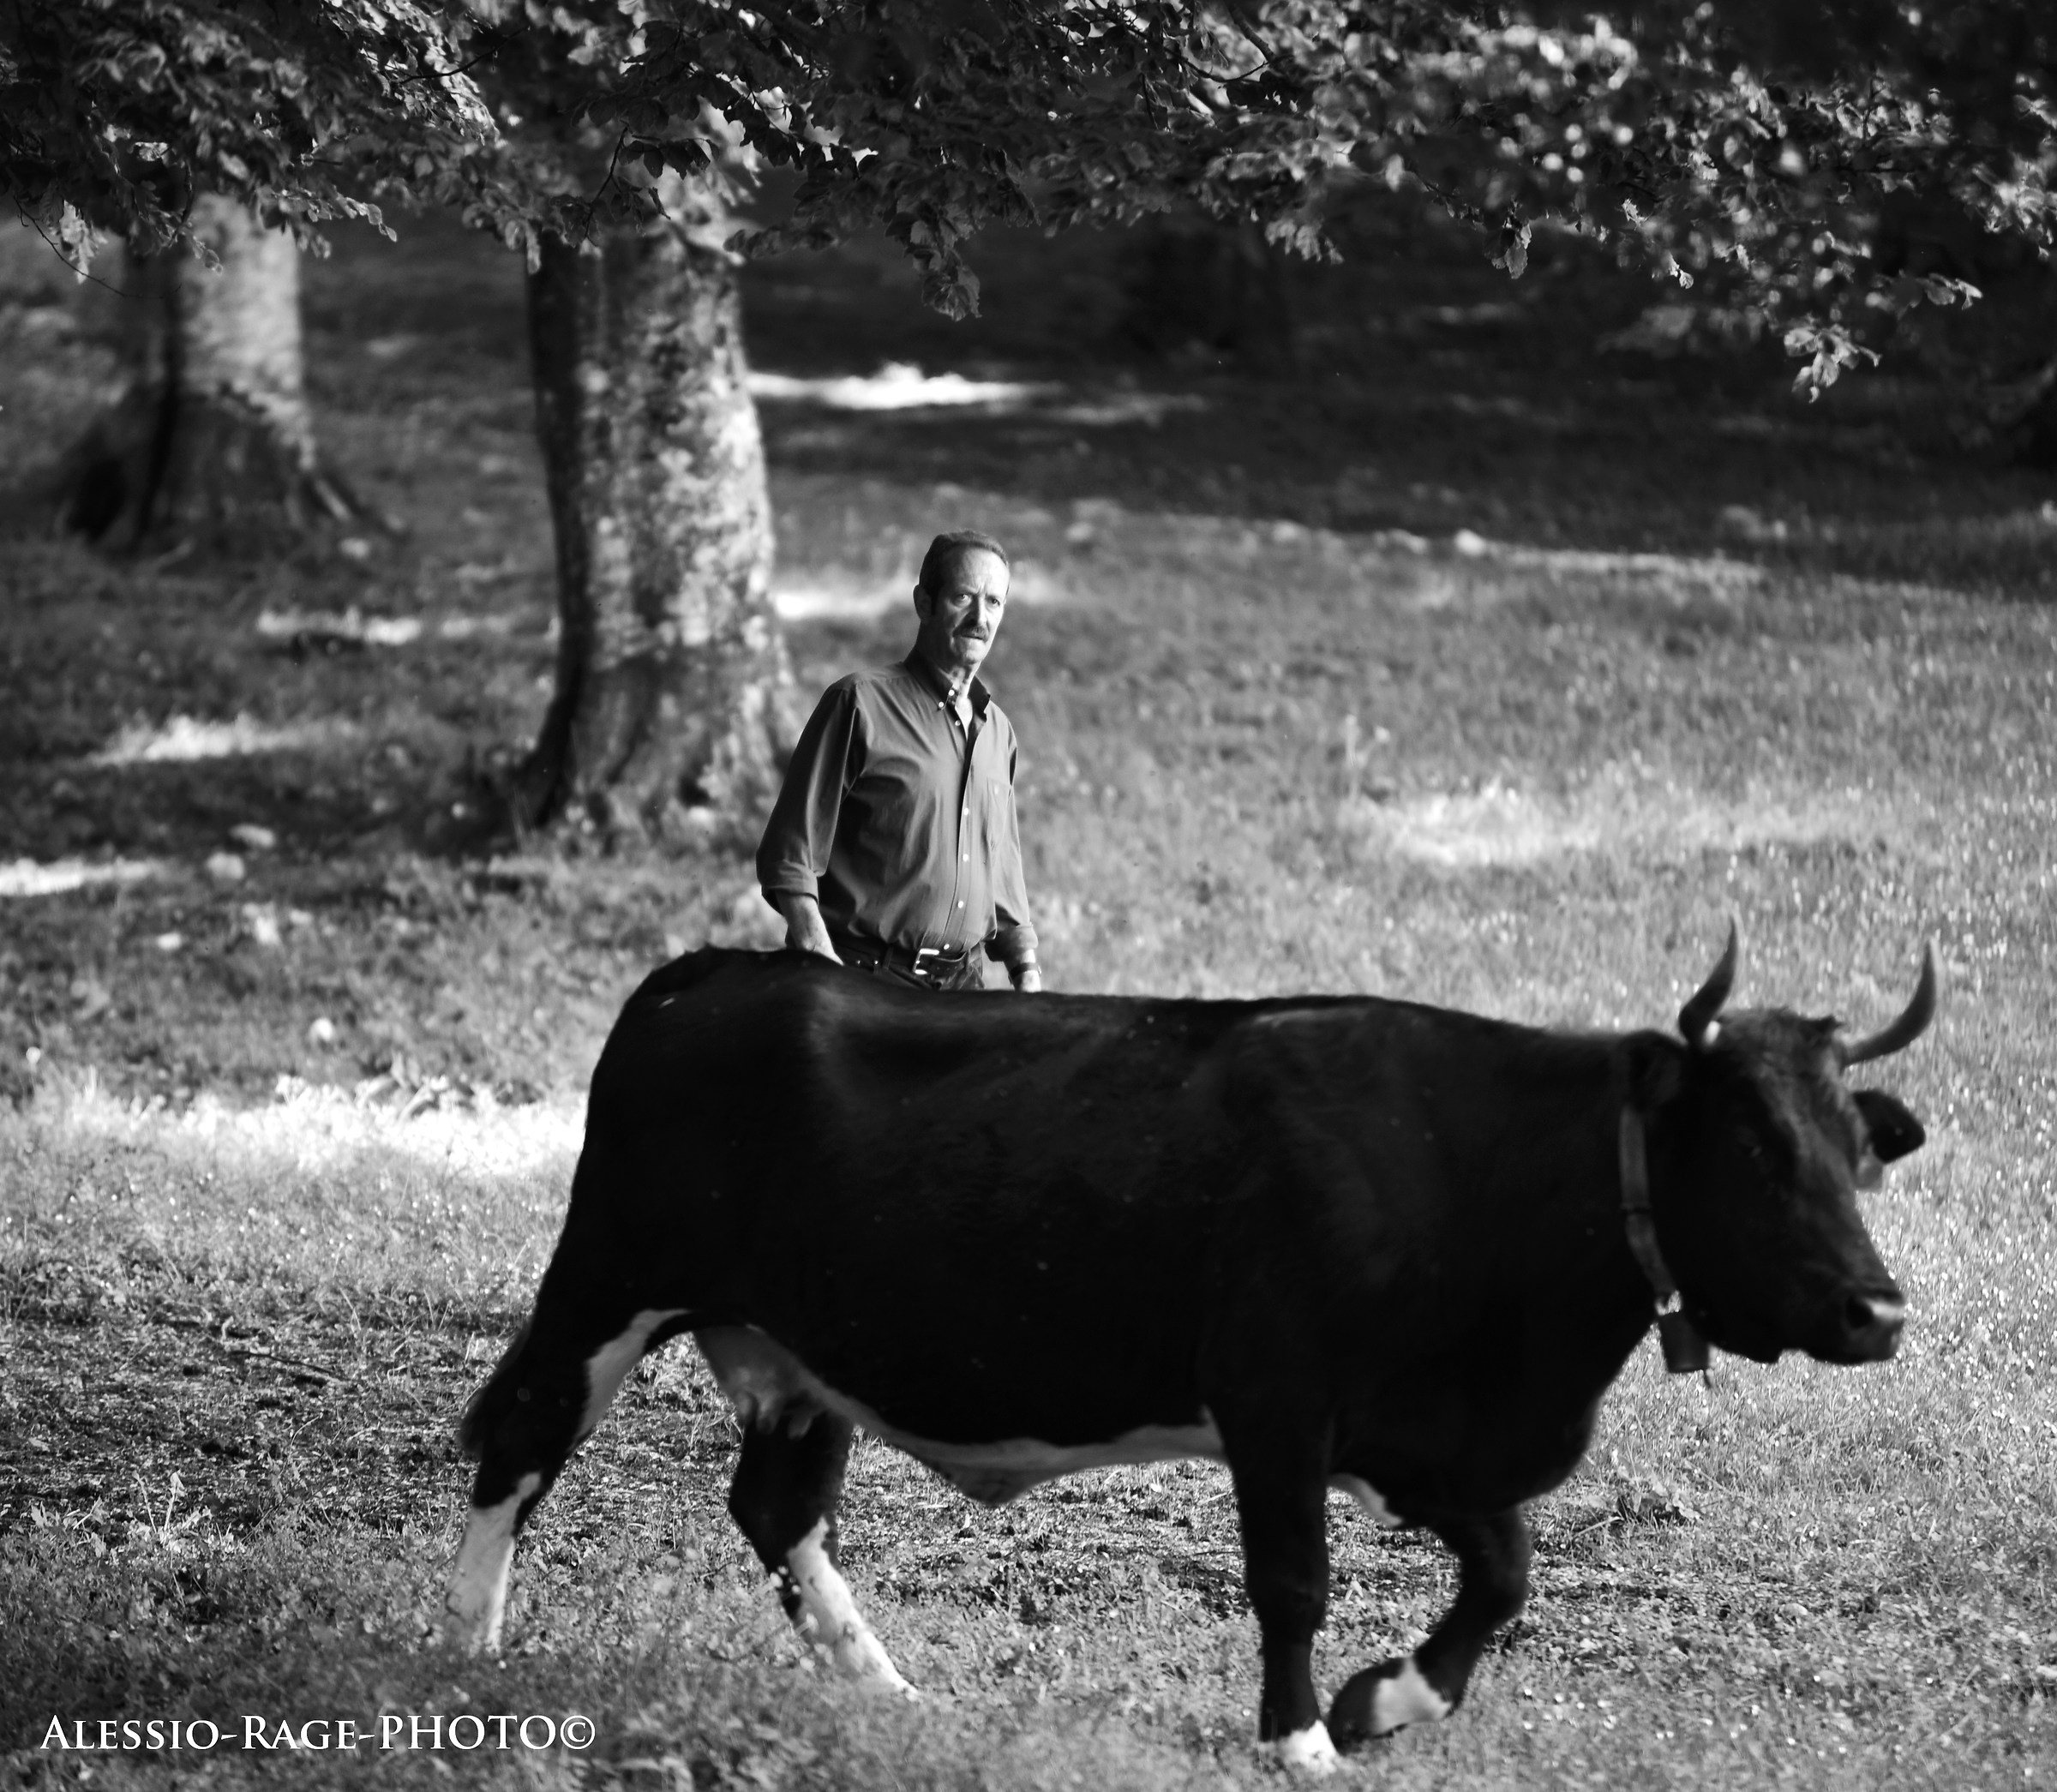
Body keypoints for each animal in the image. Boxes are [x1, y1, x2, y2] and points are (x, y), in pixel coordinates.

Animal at [446, 928, 1934, 1771]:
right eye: (1754, 1143)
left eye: (1856, 1146)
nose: (1879, 1309)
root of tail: (714, 971)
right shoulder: (1275, 1394)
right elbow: (1292, 1579)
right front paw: (1301, 1735)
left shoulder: (1422, 1435)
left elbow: (1507, 1572)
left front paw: (1391, 1700)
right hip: (609, 1278)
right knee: (519, 1436)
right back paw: (472, 1654)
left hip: (807, 1351)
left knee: (774, 1505)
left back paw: (886, 1687)